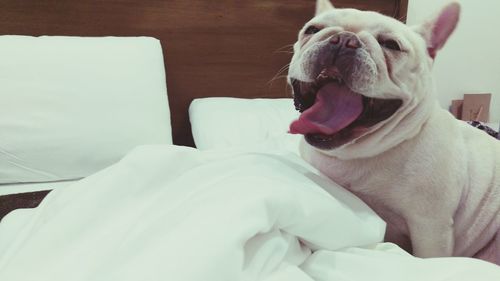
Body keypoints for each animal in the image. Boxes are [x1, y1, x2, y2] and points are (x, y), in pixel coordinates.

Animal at [288, 0, 498, 264]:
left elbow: (429, 258)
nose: (345, 39)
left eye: (391, 45)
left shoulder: (431, 227)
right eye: (312, 30)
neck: (356, 153)